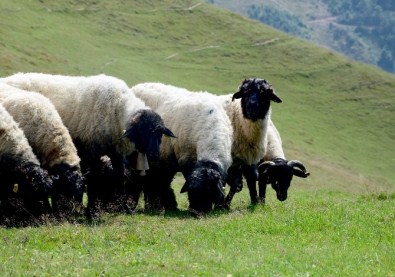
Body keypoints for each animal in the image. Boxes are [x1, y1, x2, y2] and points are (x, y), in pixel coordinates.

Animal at [217, 77, 284, 207]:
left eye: (264, 92)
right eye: (245, 91)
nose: (252, 108)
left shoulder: (250, 158)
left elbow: (251, 180)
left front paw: (256, 202)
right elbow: (235, 182)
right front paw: (223, 204)